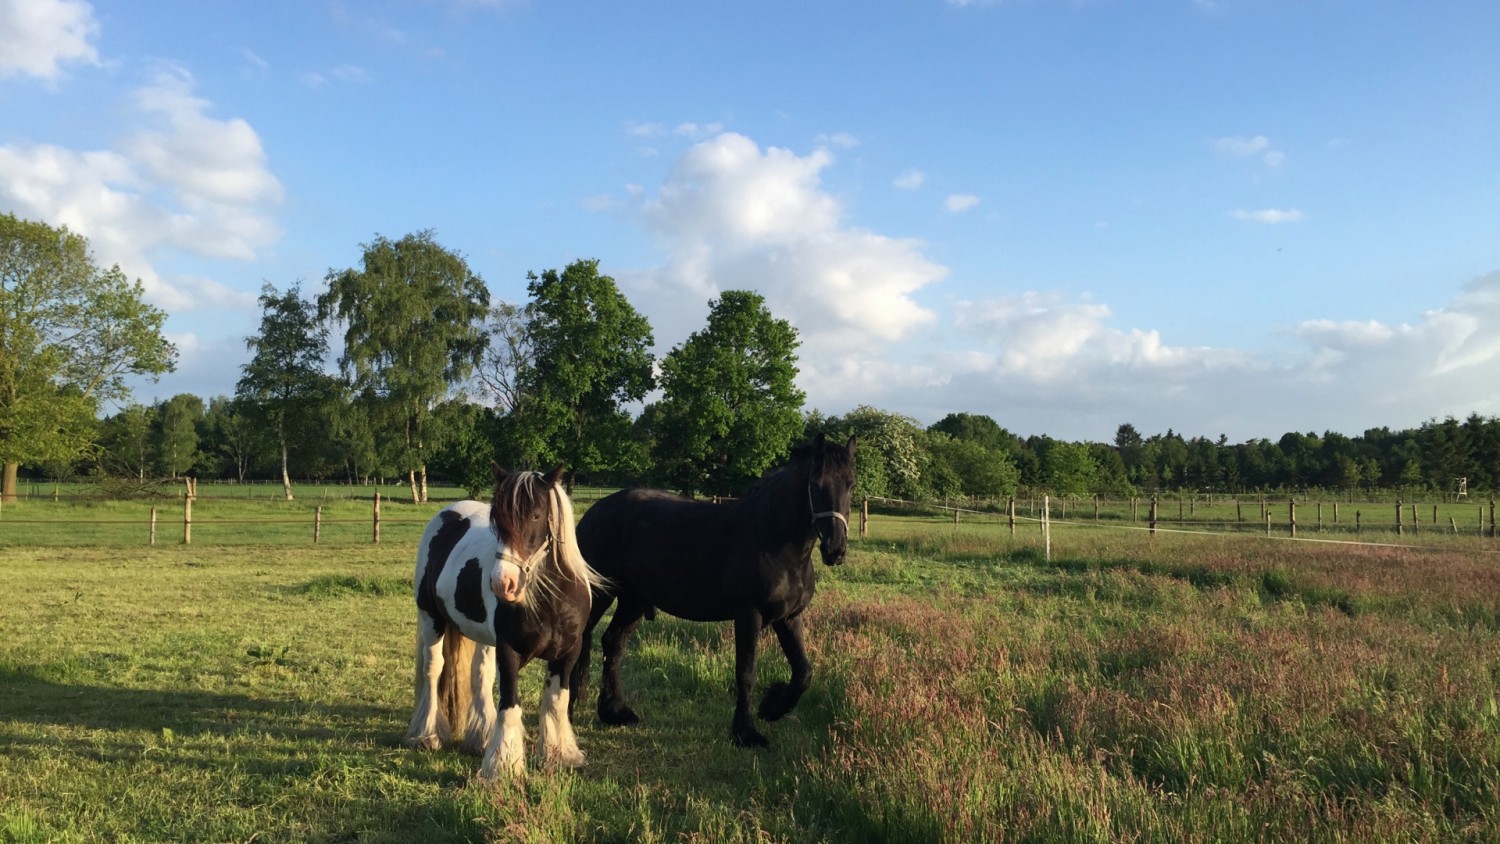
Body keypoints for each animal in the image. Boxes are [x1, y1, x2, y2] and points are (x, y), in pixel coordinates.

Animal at [408, 464, 606, 785]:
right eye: (497, 520)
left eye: (536, 515)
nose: (503, 584)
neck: (552, 600)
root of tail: (447, 513)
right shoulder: (509, 652)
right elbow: (510, 705)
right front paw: (502, 768)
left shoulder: (567, 654)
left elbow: (557, 700)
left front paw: (560, 755)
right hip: (431, 619)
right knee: (433, 671)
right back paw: (426, 735)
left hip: (484, 638)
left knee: (480, 675)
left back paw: (480, 738)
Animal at [570, 434, 858, 746]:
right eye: (816, 484)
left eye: (851, 484)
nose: (835, 549)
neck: (775, 541)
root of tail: (596, 511)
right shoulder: (748, 615)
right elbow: (746, 672)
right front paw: (745, 732)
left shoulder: (788, 618)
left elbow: (803, 672)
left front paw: (771, 707)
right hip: (600, 594)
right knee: (582, 639)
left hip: (632, 601)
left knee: (613, 643)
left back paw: (614, 712)